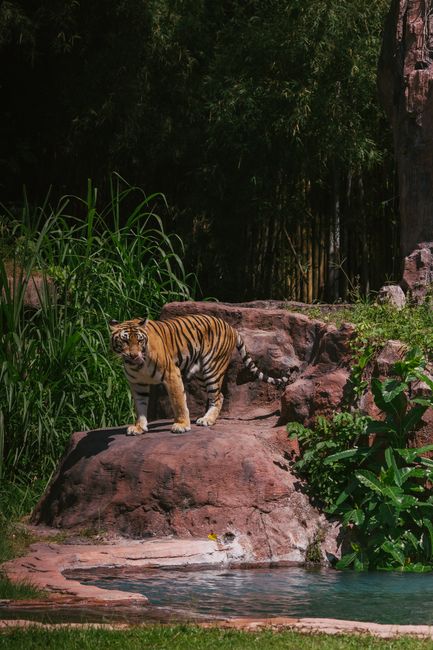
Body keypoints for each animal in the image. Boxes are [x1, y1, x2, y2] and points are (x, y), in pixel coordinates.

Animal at [109, 314, 290, 435]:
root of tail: (230, 326)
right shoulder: (137, 384)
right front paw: (139, 427)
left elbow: (178, 402)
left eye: (139, 340)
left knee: (218, 397)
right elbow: (140, 406)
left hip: (213, 368)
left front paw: (181, 425)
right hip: (202, 373)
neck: (137, 365)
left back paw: (207, 420)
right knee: (220, 395)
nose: (134, 355)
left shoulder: (171, 374)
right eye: (125, 340)